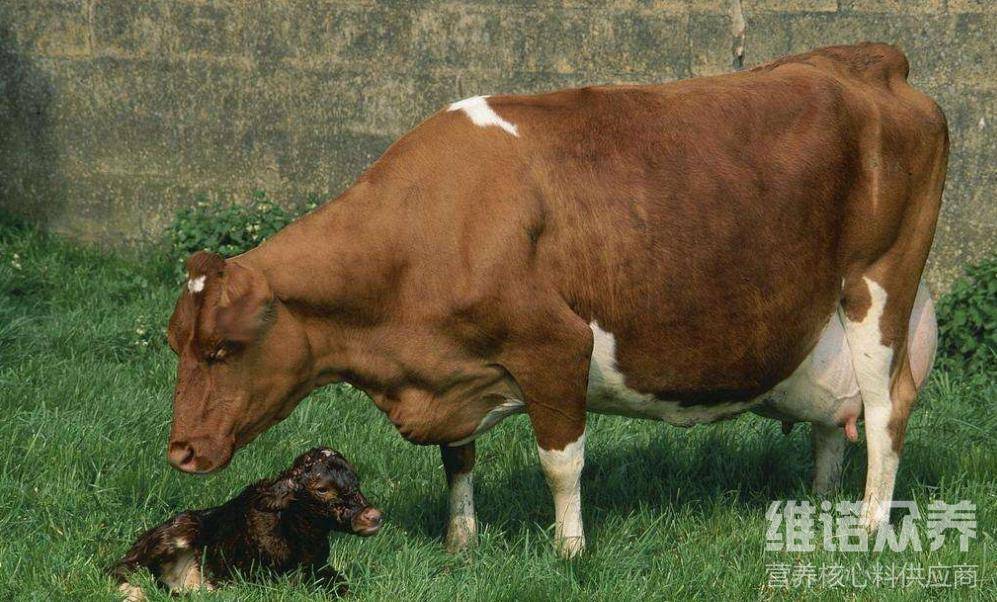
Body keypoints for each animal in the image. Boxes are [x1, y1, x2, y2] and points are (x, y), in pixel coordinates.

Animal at [110, 442, 382, 596]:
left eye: (356, 479)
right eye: (322, 489)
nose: (373, 516)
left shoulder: (320, 567)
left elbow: (343, 586)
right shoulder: (262, 578)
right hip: (174, 533)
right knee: (122, 570)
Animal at [165, 44, 948, 556]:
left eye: (224, 348)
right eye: (177, 343)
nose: (181, 451)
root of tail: (867, 60)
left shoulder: (553, 346)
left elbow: (561, 463)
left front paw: (569, 551)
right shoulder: (454, 367)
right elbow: (457, 459)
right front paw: (461, 541)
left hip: (878, 287)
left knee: (885, 410)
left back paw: (868, 526)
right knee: (835, 422)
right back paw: (816, 506)